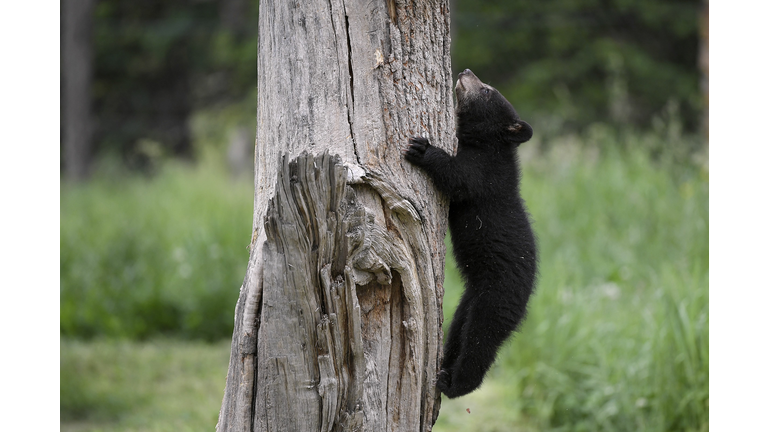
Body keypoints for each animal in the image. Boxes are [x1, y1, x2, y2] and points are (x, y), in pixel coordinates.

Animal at [403, 69, 538, 399]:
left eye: (488, 90)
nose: (465, 72)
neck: (490, 147)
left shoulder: (484, 174)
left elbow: (457, 178)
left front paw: (422, 149)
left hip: (495, 300)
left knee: (481, 342)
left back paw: (454, 385)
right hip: (469, 300)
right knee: (458, 332)